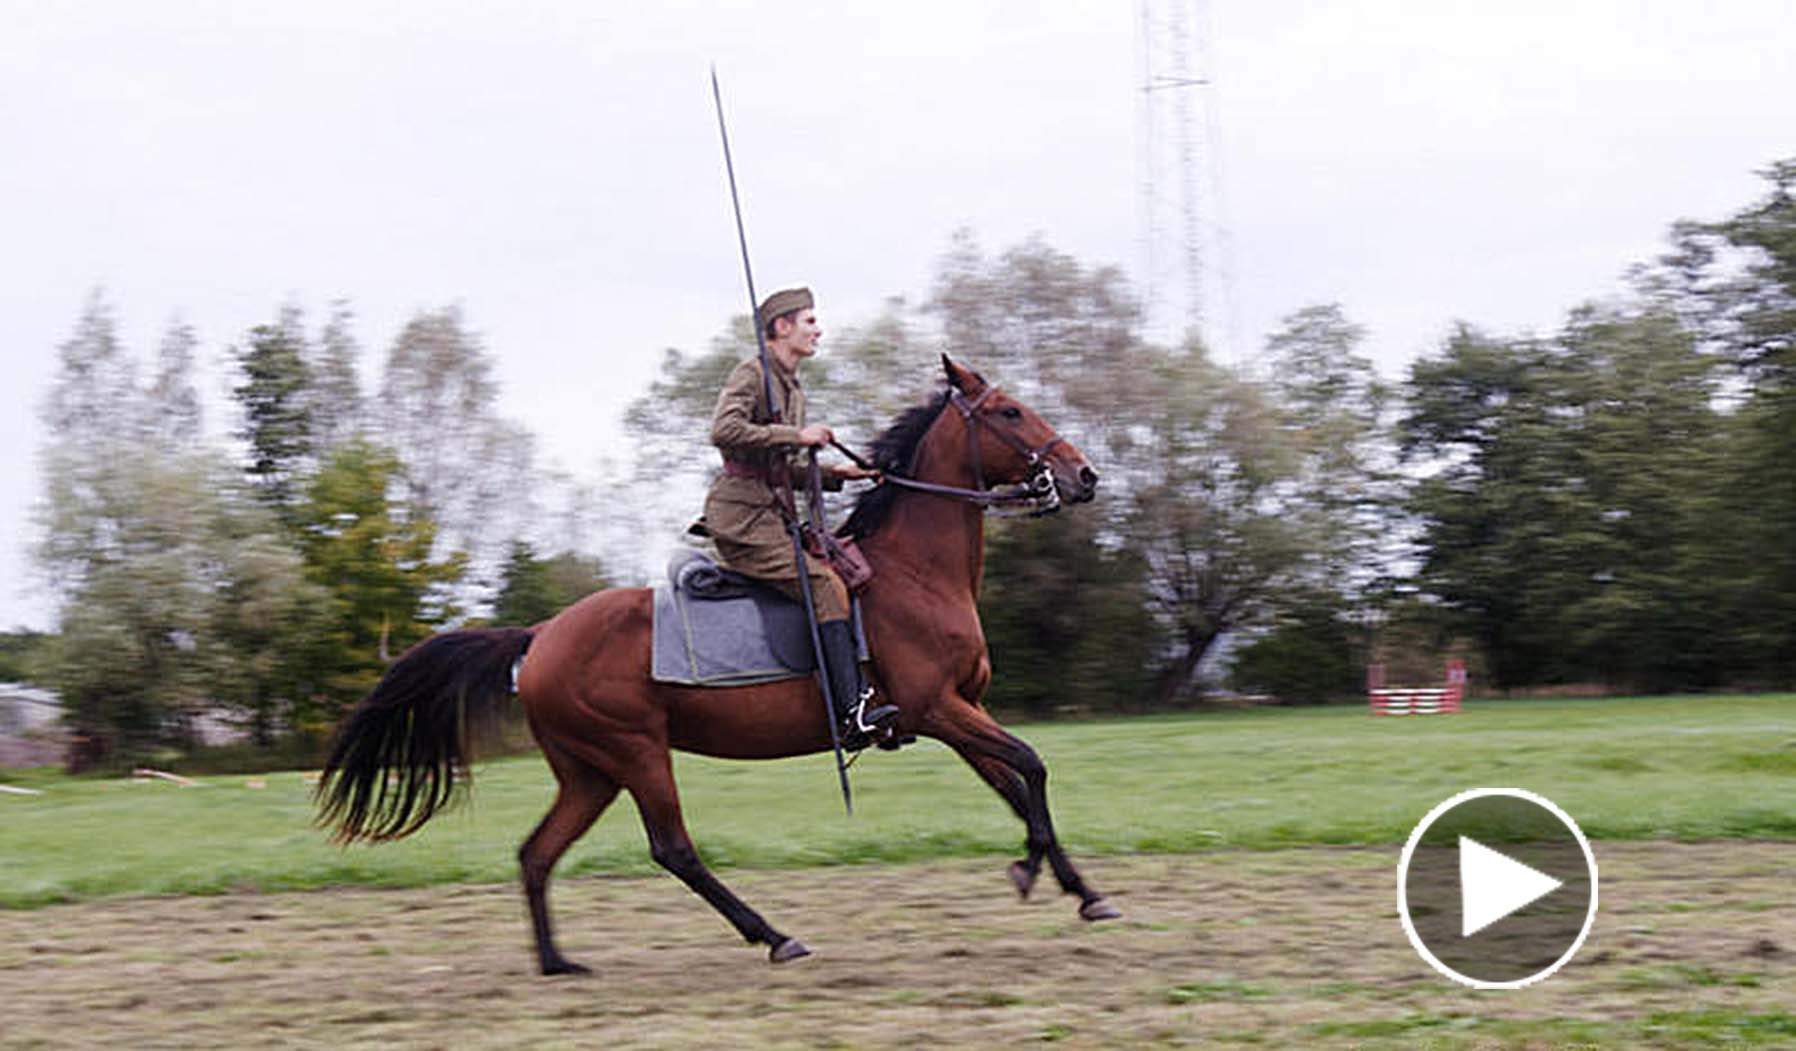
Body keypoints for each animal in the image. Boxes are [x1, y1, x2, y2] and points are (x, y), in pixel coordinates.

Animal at [316, 355, 1113, 970]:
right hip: (636, 752)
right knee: (673, 848)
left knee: (536, 854)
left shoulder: (961, 712)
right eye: (1010, 412)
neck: (914, 572)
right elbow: (1033, 766)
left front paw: (1078, 888)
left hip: (589, 773)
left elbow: (1016, 786)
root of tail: (539, 636)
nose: (1083, 475)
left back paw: (556, 961)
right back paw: (774, 935)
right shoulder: (937, 708)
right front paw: (1033, 869)